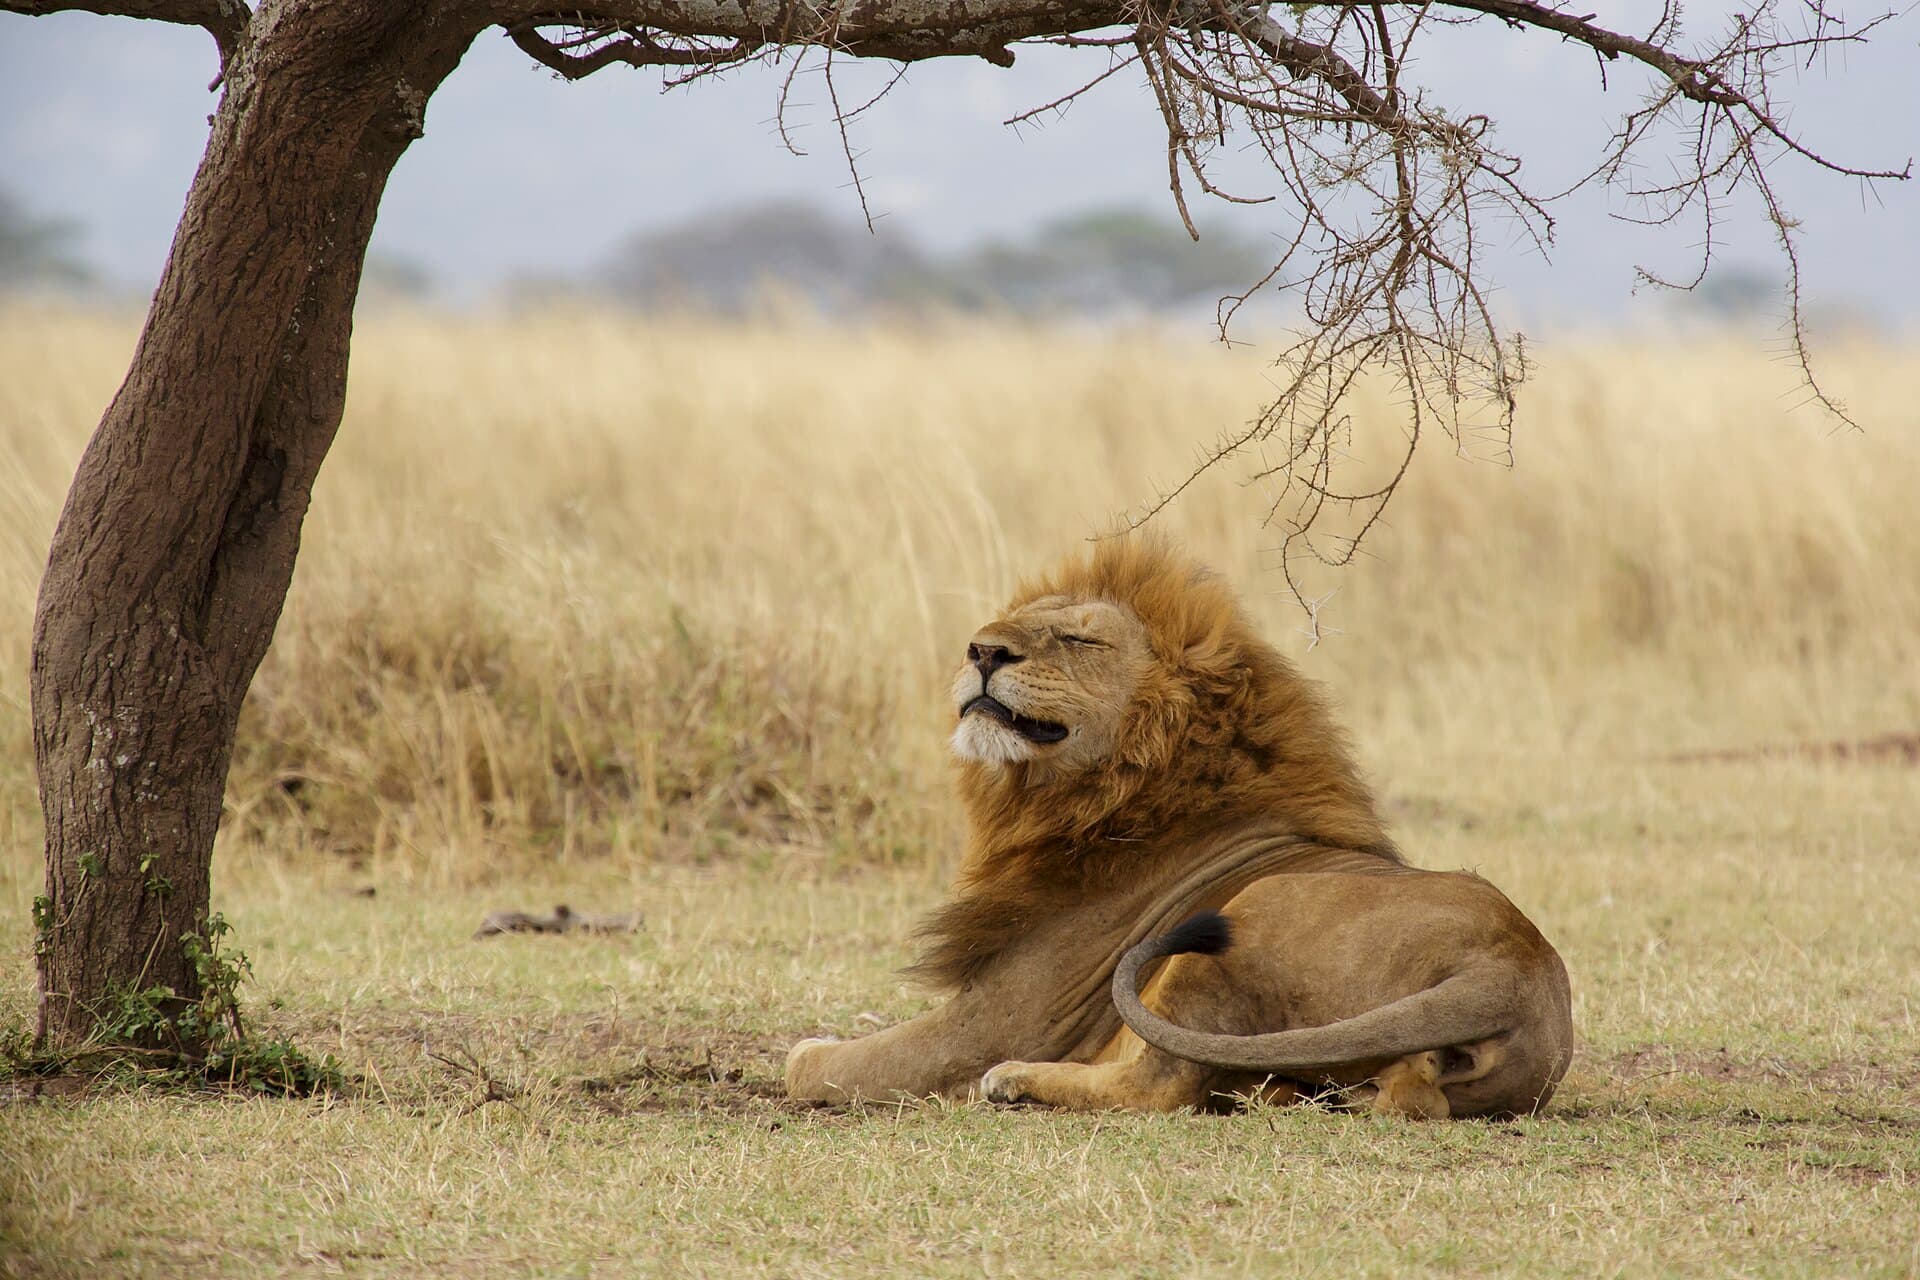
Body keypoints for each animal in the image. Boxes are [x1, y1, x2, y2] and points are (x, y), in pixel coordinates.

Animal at [785, 538, 1573, 1117]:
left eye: (1075, 638)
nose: (980, 650)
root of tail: (1514, 971)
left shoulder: (1003, 1018)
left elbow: (836, 1066)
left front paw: (808, 1052)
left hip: (1239, 916)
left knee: (1157, 1084)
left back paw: (1015, 1081)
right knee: (1403, 1097)